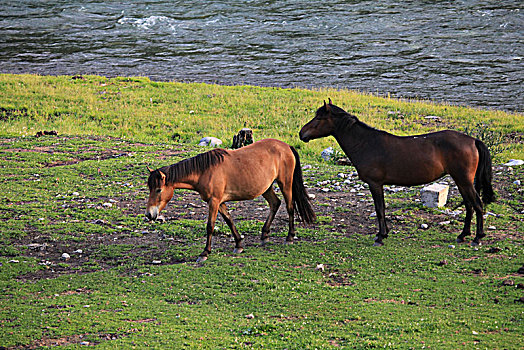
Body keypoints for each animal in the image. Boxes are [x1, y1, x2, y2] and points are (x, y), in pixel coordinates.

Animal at [144, 138, 316, 262]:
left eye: (158, 190)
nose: (149, 214)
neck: (205, 171)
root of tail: (286, 146)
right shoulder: (219, 202)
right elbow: (229, 221)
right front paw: (239, 244)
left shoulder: (214, 201)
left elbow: (210, 226)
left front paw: (204, 253)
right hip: (266, 188)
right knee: (275, 203)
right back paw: (264, 235)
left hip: (285, 183)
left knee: (289, 207)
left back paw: (289, 237)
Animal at [298, 98, 496, 246]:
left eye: (319, 118)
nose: (301, 133)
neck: (366, 143)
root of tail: (472, 140)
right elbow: (381, 208)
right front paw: (384, 233)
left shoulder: (375, 184)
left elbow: (379, 209)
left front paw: (380, 236)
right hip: (461, 181)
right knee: (470, 206)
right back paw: (463, 235)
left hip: (464, 180)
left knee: (477, 205)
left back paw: (477, 238)